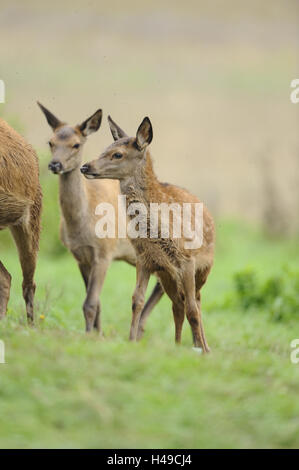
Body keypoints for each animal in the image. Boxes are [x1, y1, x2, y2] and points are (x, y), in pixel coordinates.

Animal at [38, 103, 164, 334]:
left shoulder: (105, 252)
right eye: (50, 142)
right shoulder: (80, 256)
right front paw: (96, 334)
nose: (55, 165)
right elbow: (95, 303)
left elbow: (90, 303)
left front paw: (89, 335)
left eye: (76, 144)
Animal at [80, 115, 216, 350]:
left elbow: (192, 310)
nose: (85, 166)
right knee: (177, 304)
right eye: (106, 147)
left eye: (117, 154)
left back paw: (203, 347)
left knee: (195, 302)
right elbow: (137, 301)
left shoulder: (187, 260)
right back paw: (179, 345)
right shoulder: (146, 259)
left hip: (203, 269)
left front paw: (201, 350)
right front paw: (132, 340)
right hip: (167, 275)